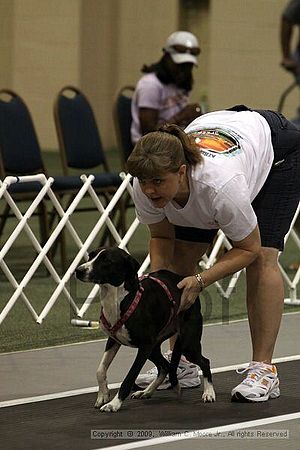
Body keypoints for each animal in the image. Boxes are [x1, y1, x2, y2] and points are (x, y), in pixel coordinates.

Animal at [75, 248, 216, 414]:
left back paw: (209, 393)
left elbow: (129, 377)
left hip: (187, 344)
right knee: (165, 366)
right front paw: (103, 395)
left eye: (106, 261)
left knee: (204, 362)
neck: (120, 298)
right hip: (154, 348)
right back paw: (147, 391)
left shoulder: (144, 347)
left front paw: (114, 404)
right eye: (90, 256)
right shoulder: (114, 340)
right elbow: (100, 370)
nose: (78, 270)